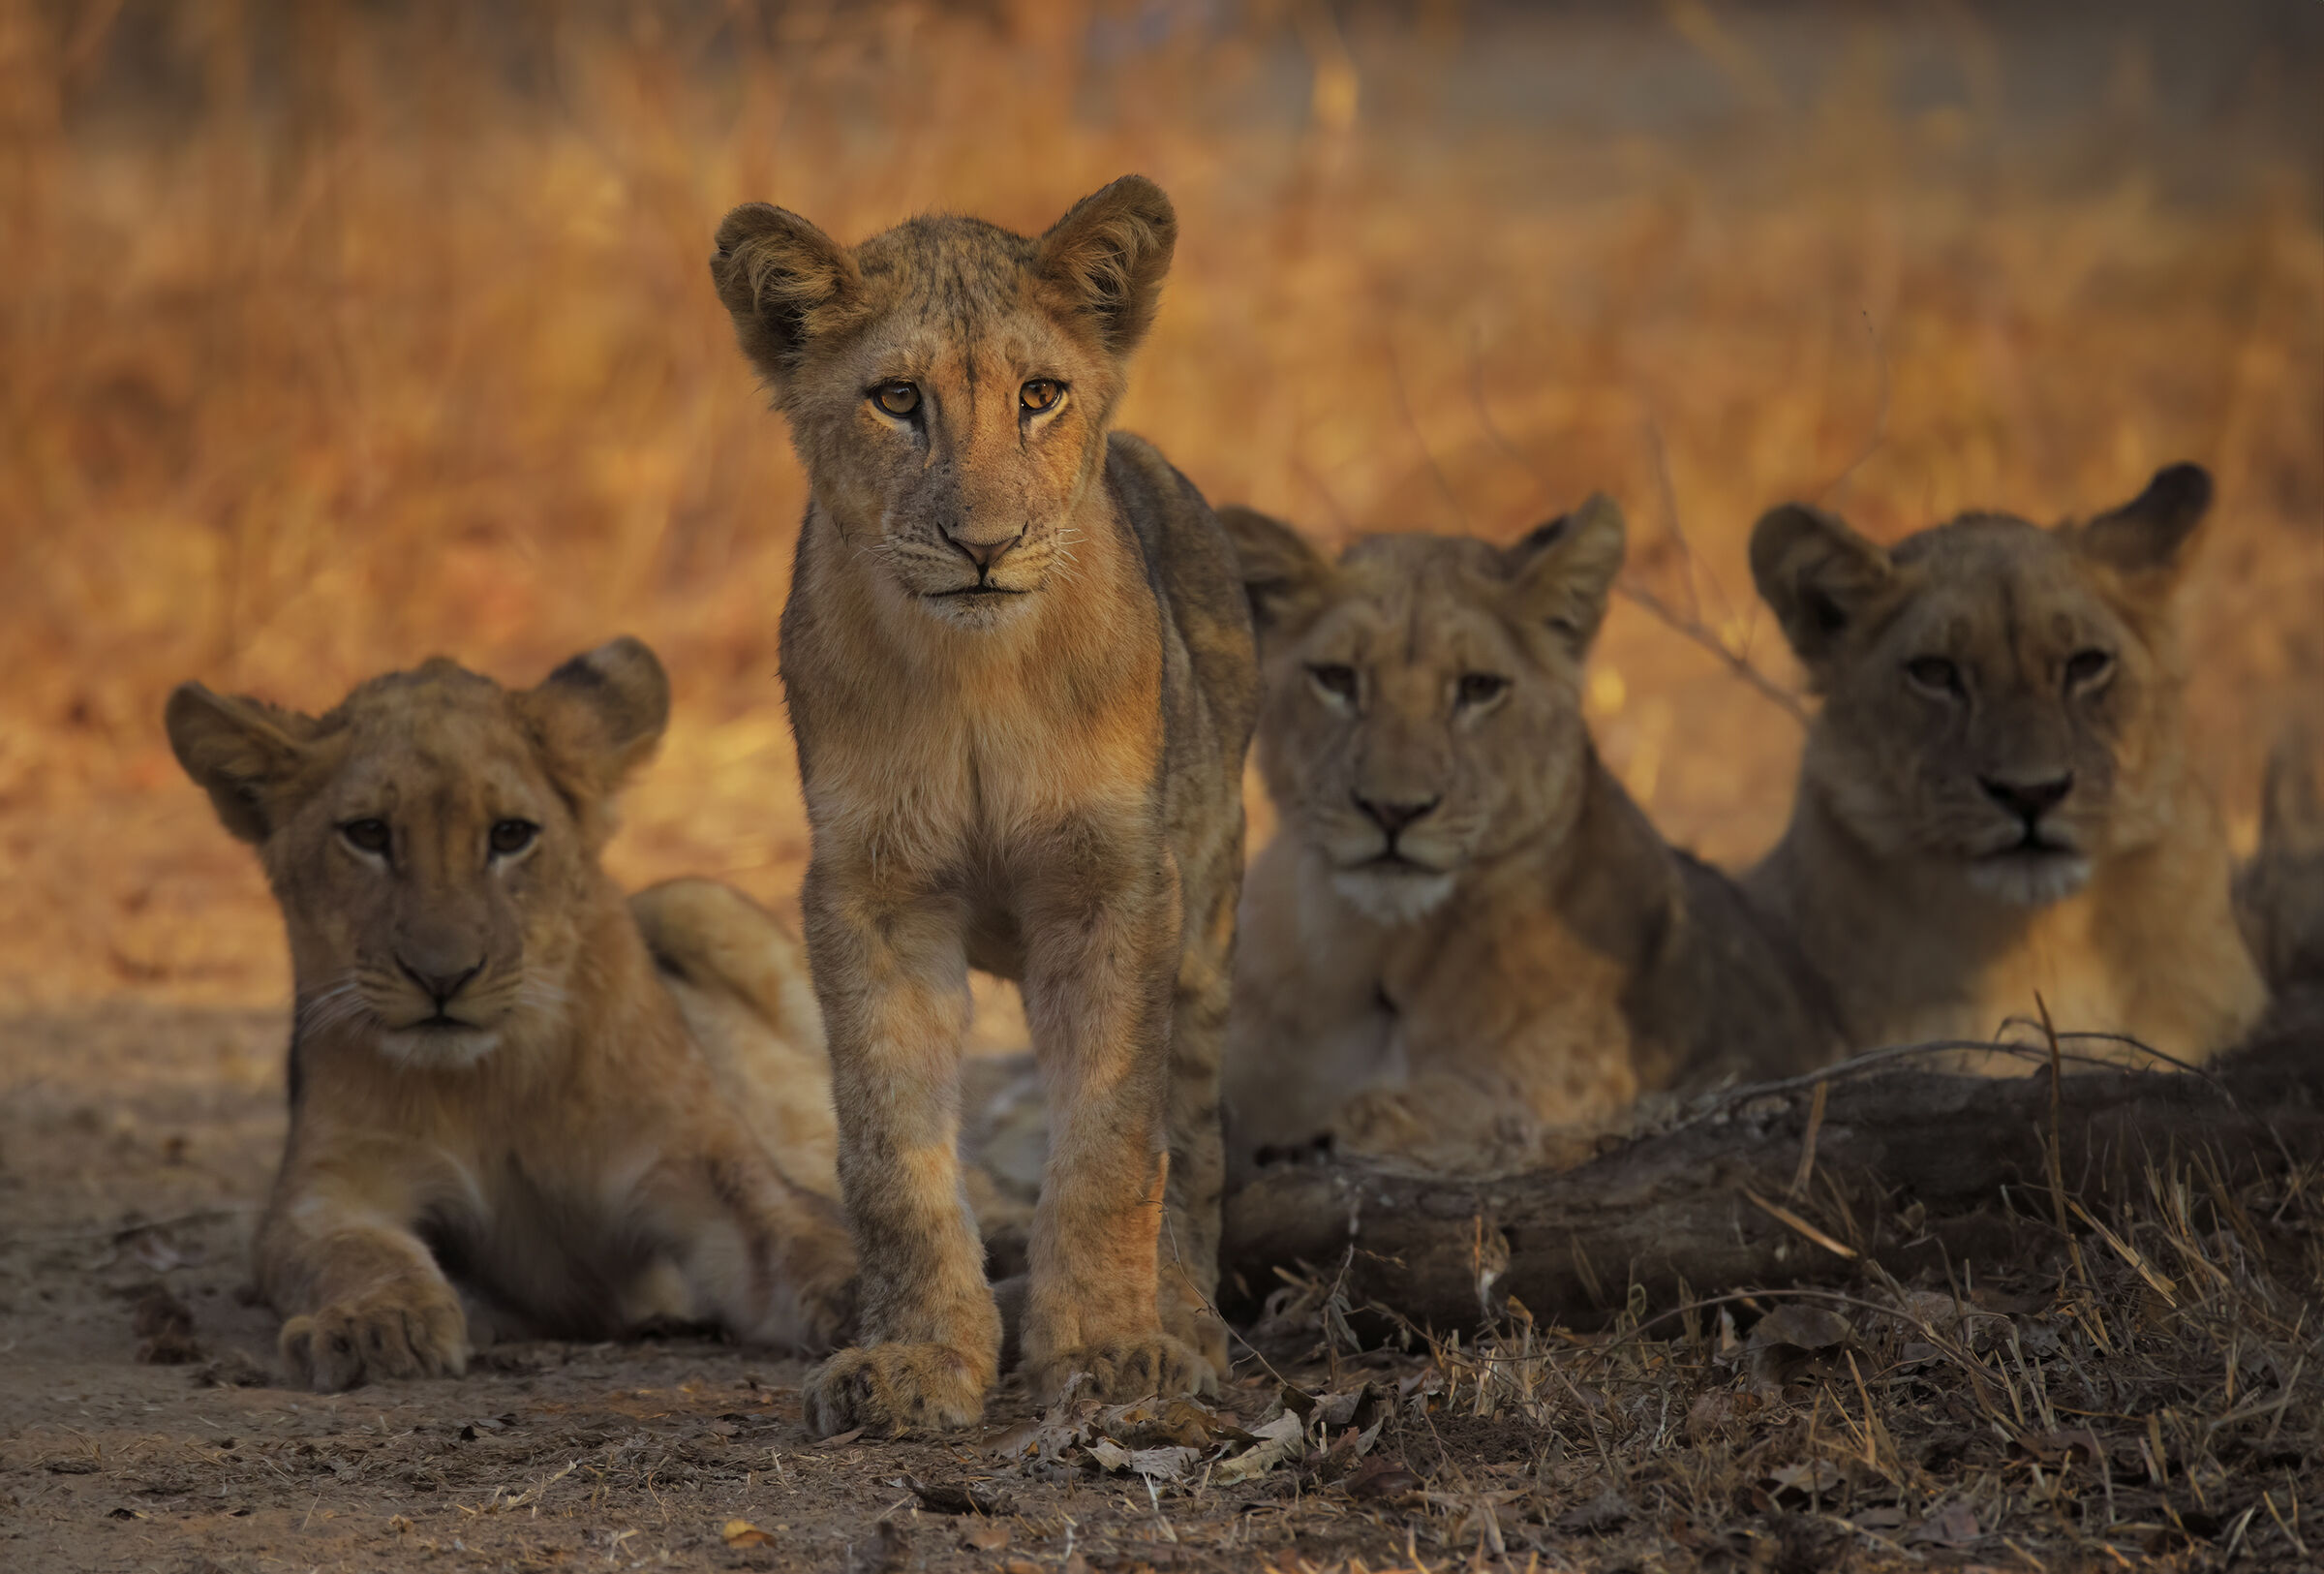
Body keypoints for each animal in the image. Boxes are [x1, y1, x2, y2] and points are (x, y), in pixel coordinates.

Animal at [164, 638, 857, 1392]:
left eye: (510, 835)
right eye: (368, 833)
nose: (442, 977)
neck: (493, 1081)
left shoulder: (700, 1168)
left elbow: (798, 1231)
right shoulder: (329, 1184)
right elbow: (354, 1248)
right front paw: (378, 1324)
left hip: (692, 900)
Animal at [709, 176, 1257, 1432]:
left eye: (1039, 395)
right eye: (896, 398)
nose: (984, 544)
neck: (976, 677)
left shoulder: (1115, 882)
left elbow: (1114, 1138)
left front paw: (1107, 1349)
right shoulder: (871, 892)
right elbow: (889, 1148)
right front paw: (919, 1358)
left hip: (1205, 917)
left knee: (1194, 1136)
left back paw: (1186, 1318)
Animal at [1216, 499, 1838, 1179]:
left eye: (1479, 688)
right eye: (1336, 678)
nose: (1392, 811)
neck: (1377, 951)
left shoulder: (1567, 1089)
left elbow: (1432, 1114)